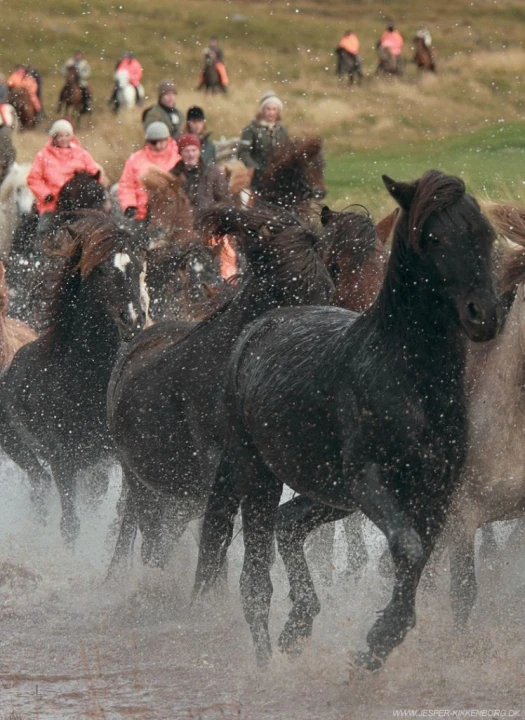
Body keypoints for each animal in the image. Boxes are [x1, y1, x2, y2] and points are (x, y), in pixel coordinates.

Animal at [0, 214, 145, 544]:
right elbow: (70, 525)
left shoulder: (111, 459)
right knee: (39, 485)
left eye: (138, 267)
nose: (133, 319)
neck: (84, 378)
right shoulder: (62, 459)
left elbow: (120, 513)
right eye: (101, 270)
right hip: (17, 448)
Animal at [193, 170, 500, 668]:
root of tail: (258, 328)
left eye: (486, 234)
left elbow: (420, 556)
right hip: (257, 475)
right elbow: (407, 548)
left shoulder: (436, 491)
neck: (407, 377)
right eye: (433, 237)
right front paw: (376, 642)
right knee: (255, 581)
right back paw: (267, 664)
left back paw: (298, 625)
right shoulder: (367, 479)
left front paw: (381, 641)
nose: (483, 315)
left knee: (289, 523)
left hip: (329, 494)